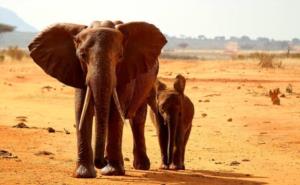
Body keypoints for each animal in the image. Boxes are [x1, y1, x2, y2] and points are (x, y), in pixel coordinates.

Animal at [28, 20, 166, 178]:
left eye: (120, 56)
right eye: (82, 55)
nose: (101, 162)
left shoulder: (125, 73)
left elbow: (115, 113)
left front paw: (112, 172)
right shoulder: (77, 71)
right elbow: (81, 109)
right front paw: (83, 174)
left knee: (137, 118)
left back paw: (140, 166)